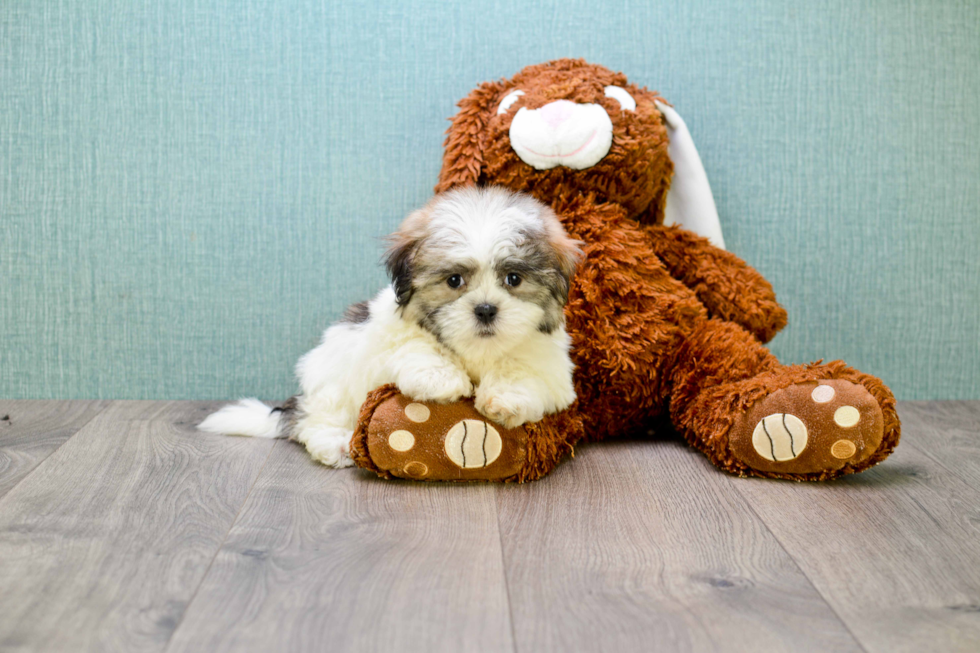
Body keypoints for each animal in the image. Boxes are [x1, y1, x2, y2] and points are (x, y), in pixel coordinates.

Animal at [199, 186, 580, 466]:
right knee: (315, 418)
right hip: (331, 379)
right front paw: (442, 380)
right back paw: (336, 444)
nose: (486, 309)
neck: (476, 350)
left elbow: (521, 369)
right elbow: (418, 346)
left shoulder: (548, 363)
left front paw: (505, 398)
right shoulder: (390, 337)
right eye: (454, 280)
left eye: (513, 278)